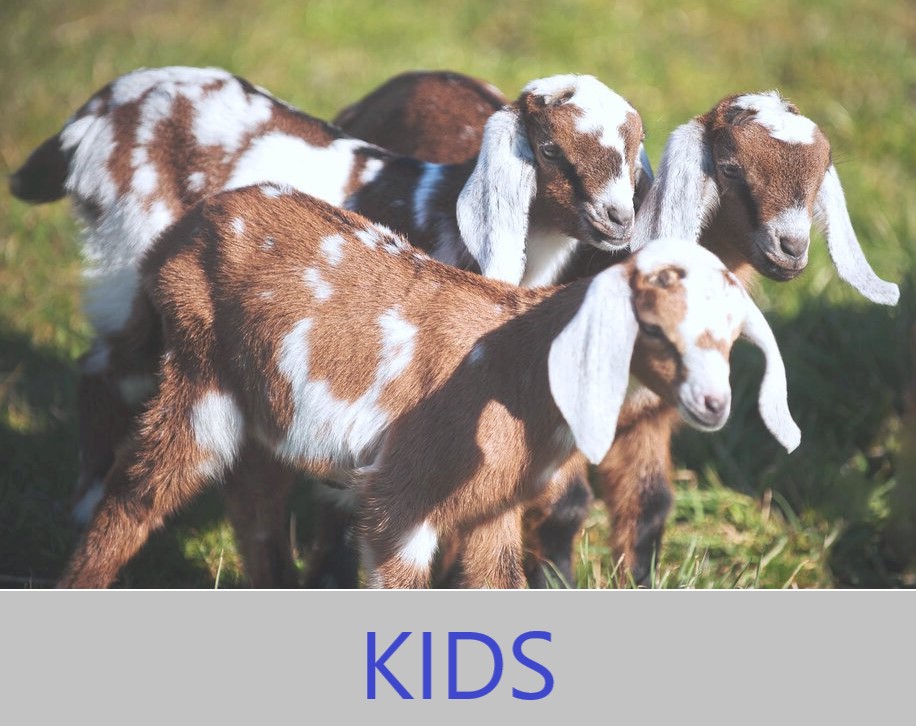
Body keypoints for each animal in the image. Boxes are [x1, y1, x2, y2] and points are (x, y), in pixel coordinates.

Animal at [9, 67, 652, 586]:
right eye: (548, 148)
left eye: (634, 145)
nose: (618, 220)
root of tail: (100, 106)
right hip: (129, 264)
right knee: (104, 371)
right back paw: (84, 506)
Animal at [57, 185, 800, 588]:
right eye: (651, 327)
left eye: (731, 336)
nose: (714, 405)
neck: (519, 366)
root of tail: (175, 235)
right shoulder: (402, 499)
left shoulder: (491, 506)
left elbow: (500, 583)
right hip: (200, 367)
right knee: (141, 487)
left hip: (265, 401)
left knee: (253, 497)